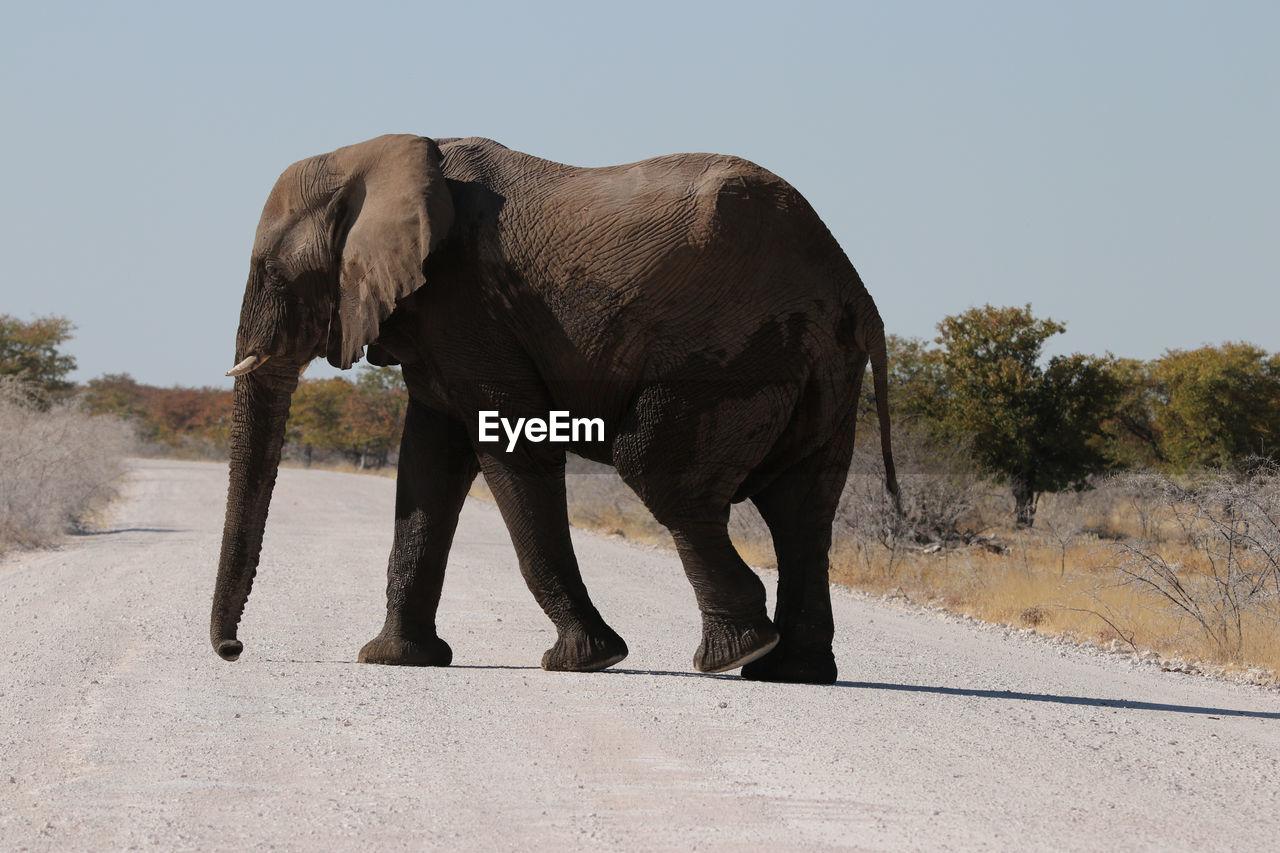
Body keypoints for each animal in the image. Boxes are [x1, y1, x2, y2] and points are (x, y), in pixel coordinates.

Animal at [209, 133, 896, 686]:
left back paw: (733, 657)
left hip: (735, 348)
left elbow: (510, 445)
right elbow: (429, 462)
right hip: (823, 361)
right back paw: (791, 671)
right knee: (802, 508)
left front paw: (584, 661)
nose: (232, 650)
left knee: (661, 474)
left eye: (275, 274)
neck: (374, 157)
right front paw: (393, 659)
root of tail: (852, 283)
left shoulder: (467, 305)